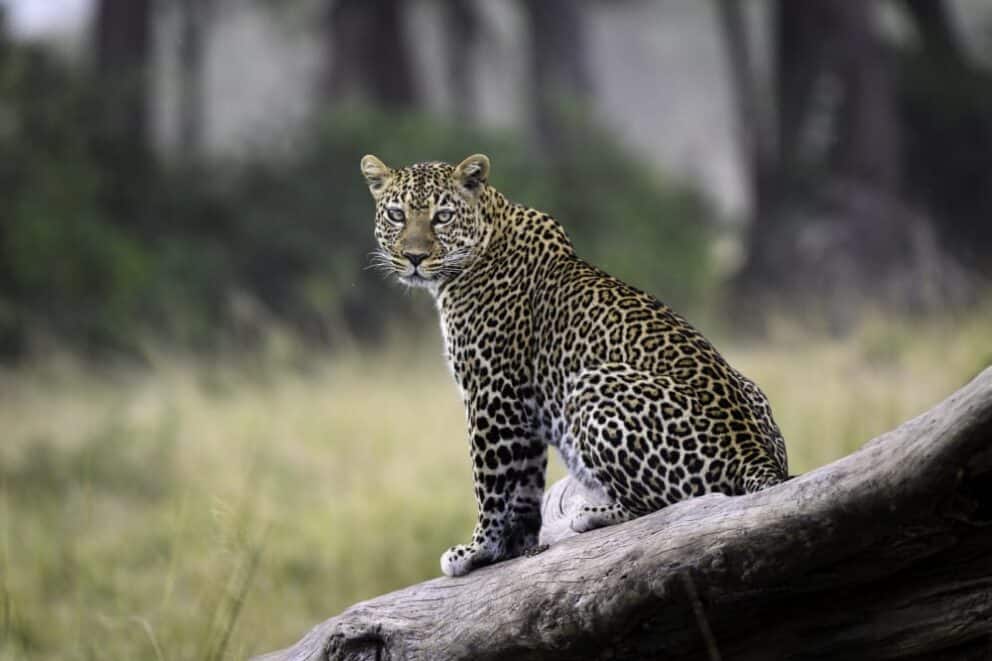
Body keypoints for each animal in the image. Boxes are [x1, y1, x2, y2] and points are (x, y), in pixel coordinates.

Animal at [361, 153, 788, 577]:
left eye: (443, 216)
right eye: (397, 215)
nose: (415, 257)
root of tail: (758, 458)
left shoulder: (491, 391)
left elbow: (490, 479)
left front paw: (476, 550)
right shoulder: (523, 407)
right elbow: (525, 484)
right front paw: (514, 548)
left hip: (591, 384)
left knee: (669, 504)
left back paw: (595, 513)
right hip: (750, 388)